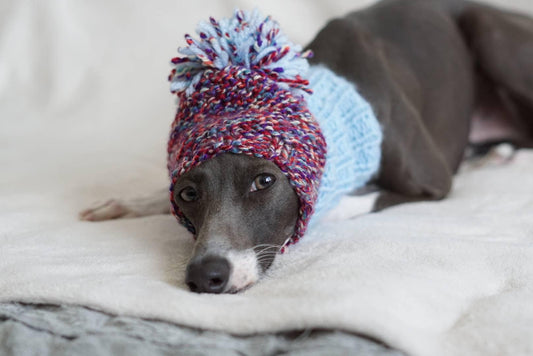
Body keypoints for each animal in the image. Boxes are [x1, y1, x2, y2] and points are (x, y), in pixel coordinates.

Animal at [79, 0, 532, 294]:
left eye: (265, 181)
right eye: (188, 193)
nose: (206, 276)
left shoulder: (433, 183)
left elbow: (337, 205)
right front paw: (131, 202)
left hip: (489, 33)